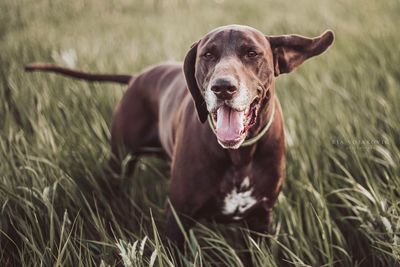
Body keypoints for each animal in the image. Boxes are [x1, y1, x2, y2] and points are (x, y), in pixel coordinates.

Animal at [23, 24, 332, 251]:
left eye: (251, 53)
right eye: (208, 55)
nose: (223, 87)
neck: (239, 156)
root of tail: (136, 77)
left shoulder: (260, 221)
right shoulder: (178, 219)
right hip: (119, 159)